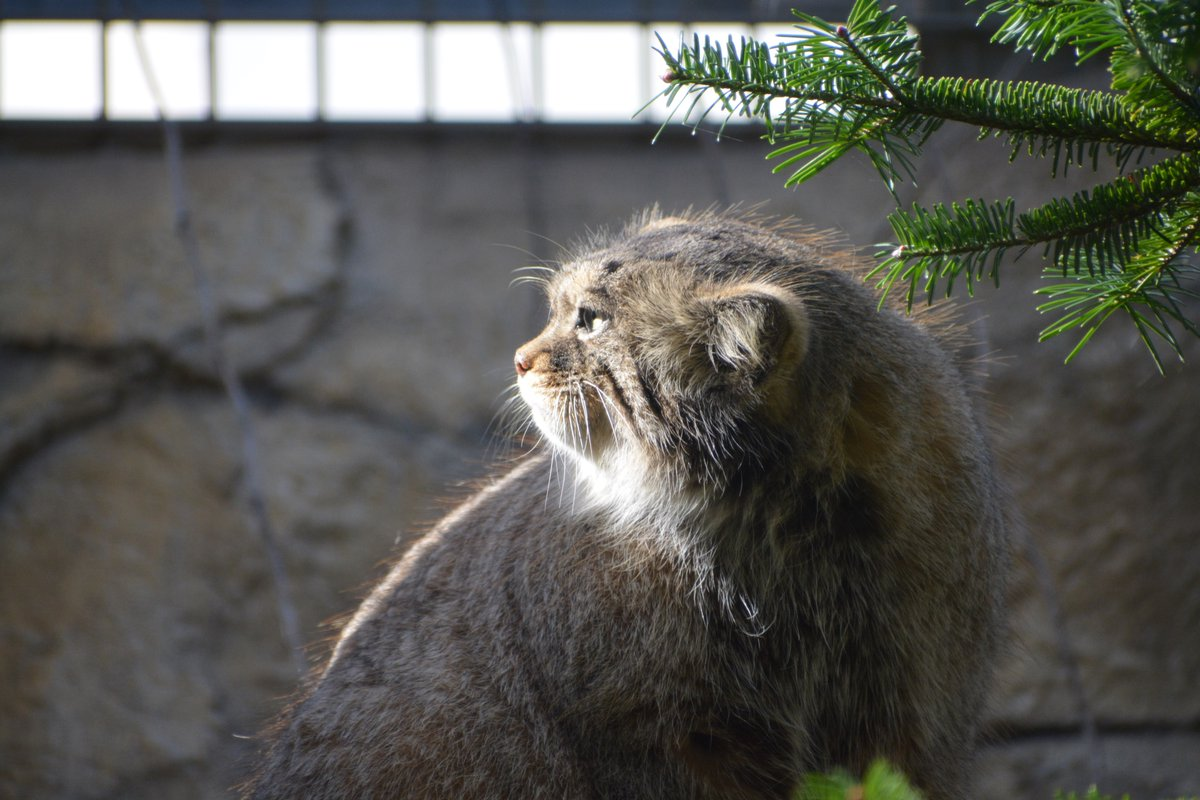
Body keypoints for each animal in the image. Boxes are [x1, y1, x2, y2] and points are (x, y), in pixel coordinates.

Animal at [246, 212, 1012, 800]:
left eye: (590, 320)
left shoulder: (912, 705)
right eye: (560, 311)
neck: (784, 531)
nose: (519, 358)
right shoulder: (661, 733)